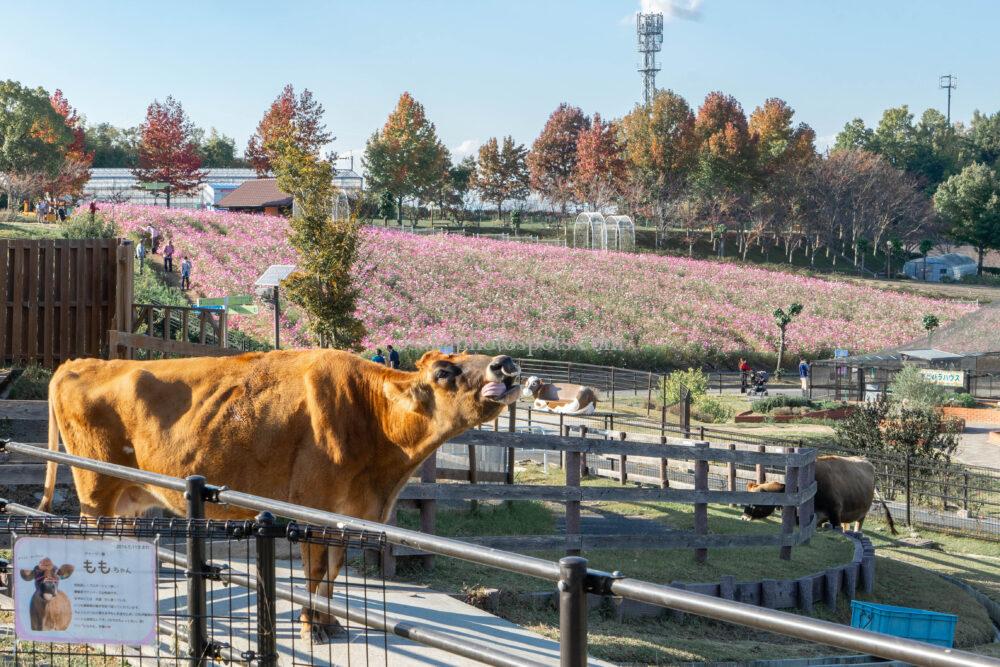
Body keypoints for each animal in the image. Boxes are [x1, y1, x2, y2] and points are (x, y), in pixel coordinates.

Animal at [37, 350, 524, 640]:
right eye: (445, 372)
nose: (505, 362)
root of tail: (83, 361)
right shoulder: (313, 507)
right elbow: (314, 573)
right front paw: (313, 626)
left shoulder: (347, 516)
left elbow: (333, 573)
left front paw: (329, 620)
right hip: (95, 489)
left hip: (127, 501)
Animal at [744, 452, 900, 536]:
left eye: (755, 503)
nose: (744, 517)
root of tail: (865, 460)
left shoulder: (835, 513)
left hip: (862, 514)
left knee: (858, 526)